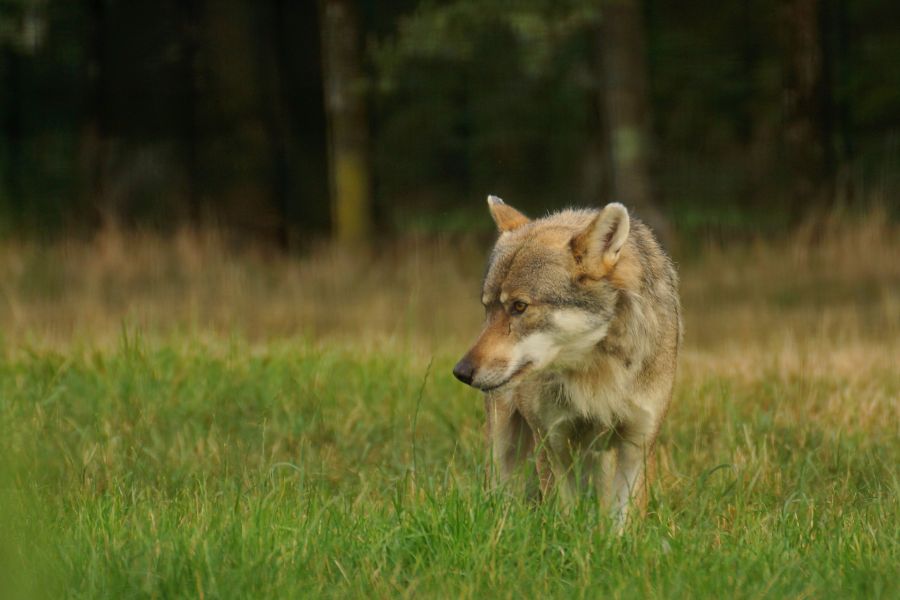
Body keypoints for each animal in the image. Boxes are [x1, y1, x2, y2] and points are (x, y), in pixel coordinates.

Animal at [454, 196, 680, 524]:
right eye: (488, 308)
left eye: (519, 307)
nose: (461, 371)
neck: (595, 371)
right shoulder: (554, 444)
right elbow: (566, 518)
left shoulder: (635, 448)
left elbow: (621, 524)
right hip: (505, 446)